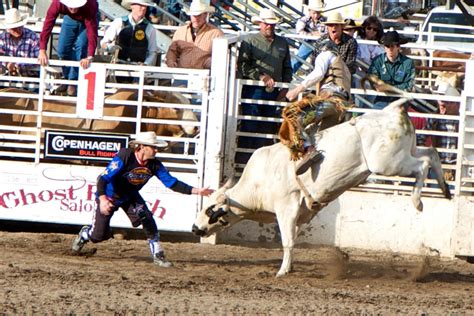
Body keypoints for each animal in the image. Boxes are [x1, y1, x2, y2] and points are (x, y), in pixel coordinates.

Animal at [193, 97, 452, 278]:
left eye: (209, 209)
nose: (195, 228)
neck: (257, 184)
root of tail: (391, 111)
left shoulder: (286, 207)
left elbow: (287, 240)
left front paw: (282, 271)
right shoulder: (301, 213)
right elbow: (293, 239)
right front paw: (290, 266)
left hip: (388, 163)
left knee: (423, 165)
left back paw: (418, 201)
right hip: (406, 152)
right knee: (431, 153)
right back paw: (446, 189)